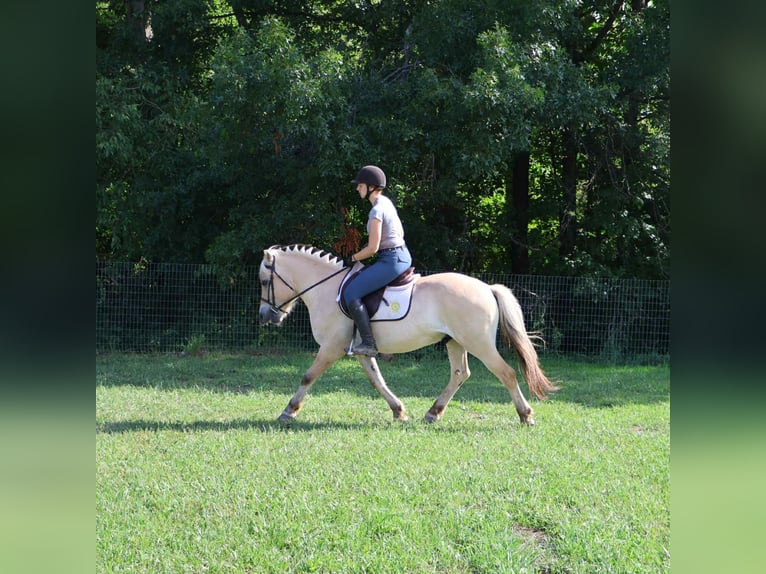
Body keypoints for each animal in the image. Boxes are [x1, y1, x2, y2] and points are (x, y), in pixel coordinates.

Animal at [259, 244, 559, 425]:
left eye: (264, 281)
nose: (265, 316)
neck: (327, 289)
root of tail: (487, 287)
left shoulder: (331, 348)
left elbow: (308, 376)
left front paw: (289, 410)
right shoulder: (360, 351)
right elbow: (377, 380)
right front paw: (398, 411)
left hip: (479, 343)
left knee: (506, 373)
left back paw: (525, 415)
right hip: (456, 342)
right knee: (460, 374)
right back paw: (433, 412)